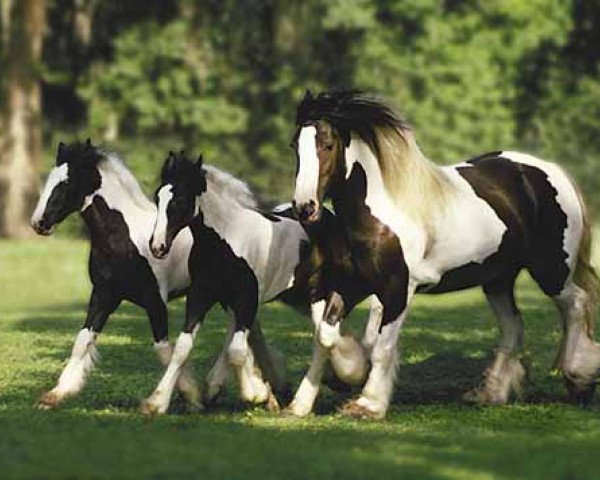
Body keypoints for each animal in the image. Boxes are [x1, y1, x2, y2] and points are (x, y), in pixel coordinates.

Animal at [292, 91, 600, 420]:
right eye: (295, 146)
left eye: (327, 145)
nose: (305, 207)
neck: (379, 215)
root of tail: (552, 171)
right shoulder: (351, 285)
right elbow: (325, 335)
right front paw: (310, 398)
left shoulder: (399, 288)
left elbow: (382, 346)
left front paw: (367, 403)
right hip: (498, 279)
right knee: (514, 326)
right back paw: (490, 394)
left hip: (552, 270)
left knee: (576, 304)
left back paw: (580, 378)